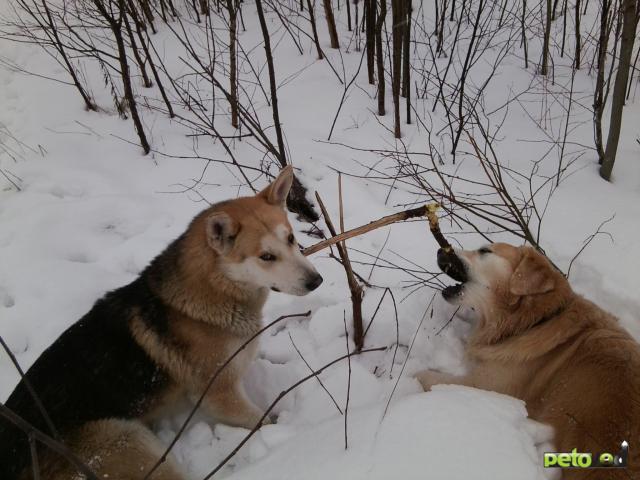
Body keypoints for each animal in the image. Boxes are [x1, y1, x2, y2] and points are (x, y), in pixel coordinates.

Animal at [0, 166, 320, 480]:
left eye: (291, 239)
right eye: (266, 256)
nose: (316, 281)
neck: (212, 291)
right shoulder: (220, 395)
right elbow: (264, 421)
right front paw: (288, 432)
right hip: (128, 441)